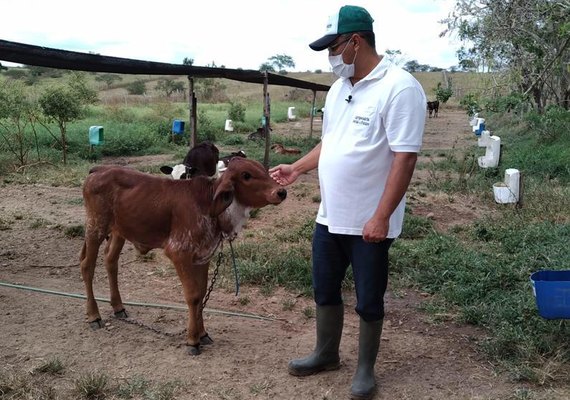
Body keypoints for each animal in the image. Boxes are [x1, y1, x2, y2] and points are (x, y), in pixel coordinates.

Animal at [77, 158, 286, 354]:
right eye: (246, 175)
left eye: (263, 169)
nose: (281, 192)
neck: (208, 204)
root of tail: (99, 169)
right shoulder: (179, 253)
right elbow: (193, 296)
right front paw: (193, 340)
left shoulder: (203, 256)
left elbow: (201, 293)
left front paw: (203, 334)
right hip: (95, 227)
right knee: (87, 265)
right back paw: (93, 316)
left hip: (119, 231)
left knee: (110, 261)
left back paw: (118, 307)